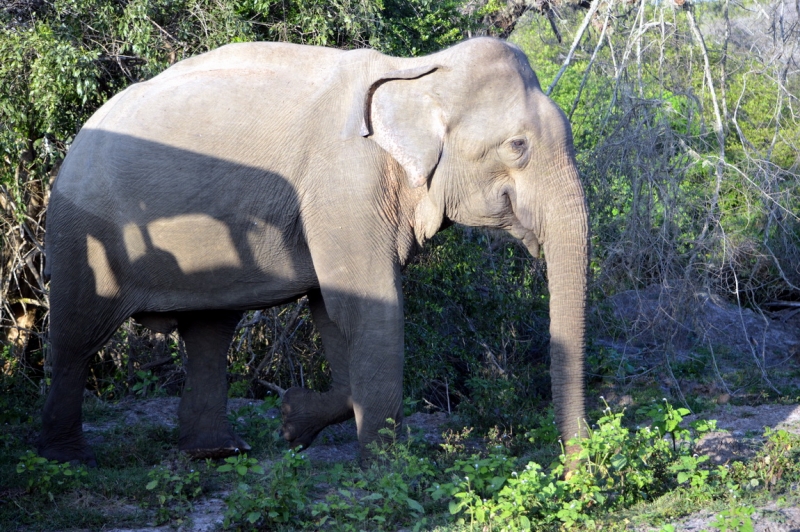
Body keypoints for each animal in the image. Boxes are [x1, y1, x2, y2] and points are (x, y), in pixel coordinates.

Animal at [39, 36, 588, 466]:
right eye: (517, 146)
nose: (575, 471)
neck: (419, 71)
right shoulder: (345, 184)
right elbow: (368, 307)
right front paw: (387, 469)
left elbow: (334, 308)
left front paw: (292, 424)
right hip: (79, 230)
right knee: (77, 335)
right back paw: (70, 459)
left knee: (210, 329)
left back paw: (216, 452)